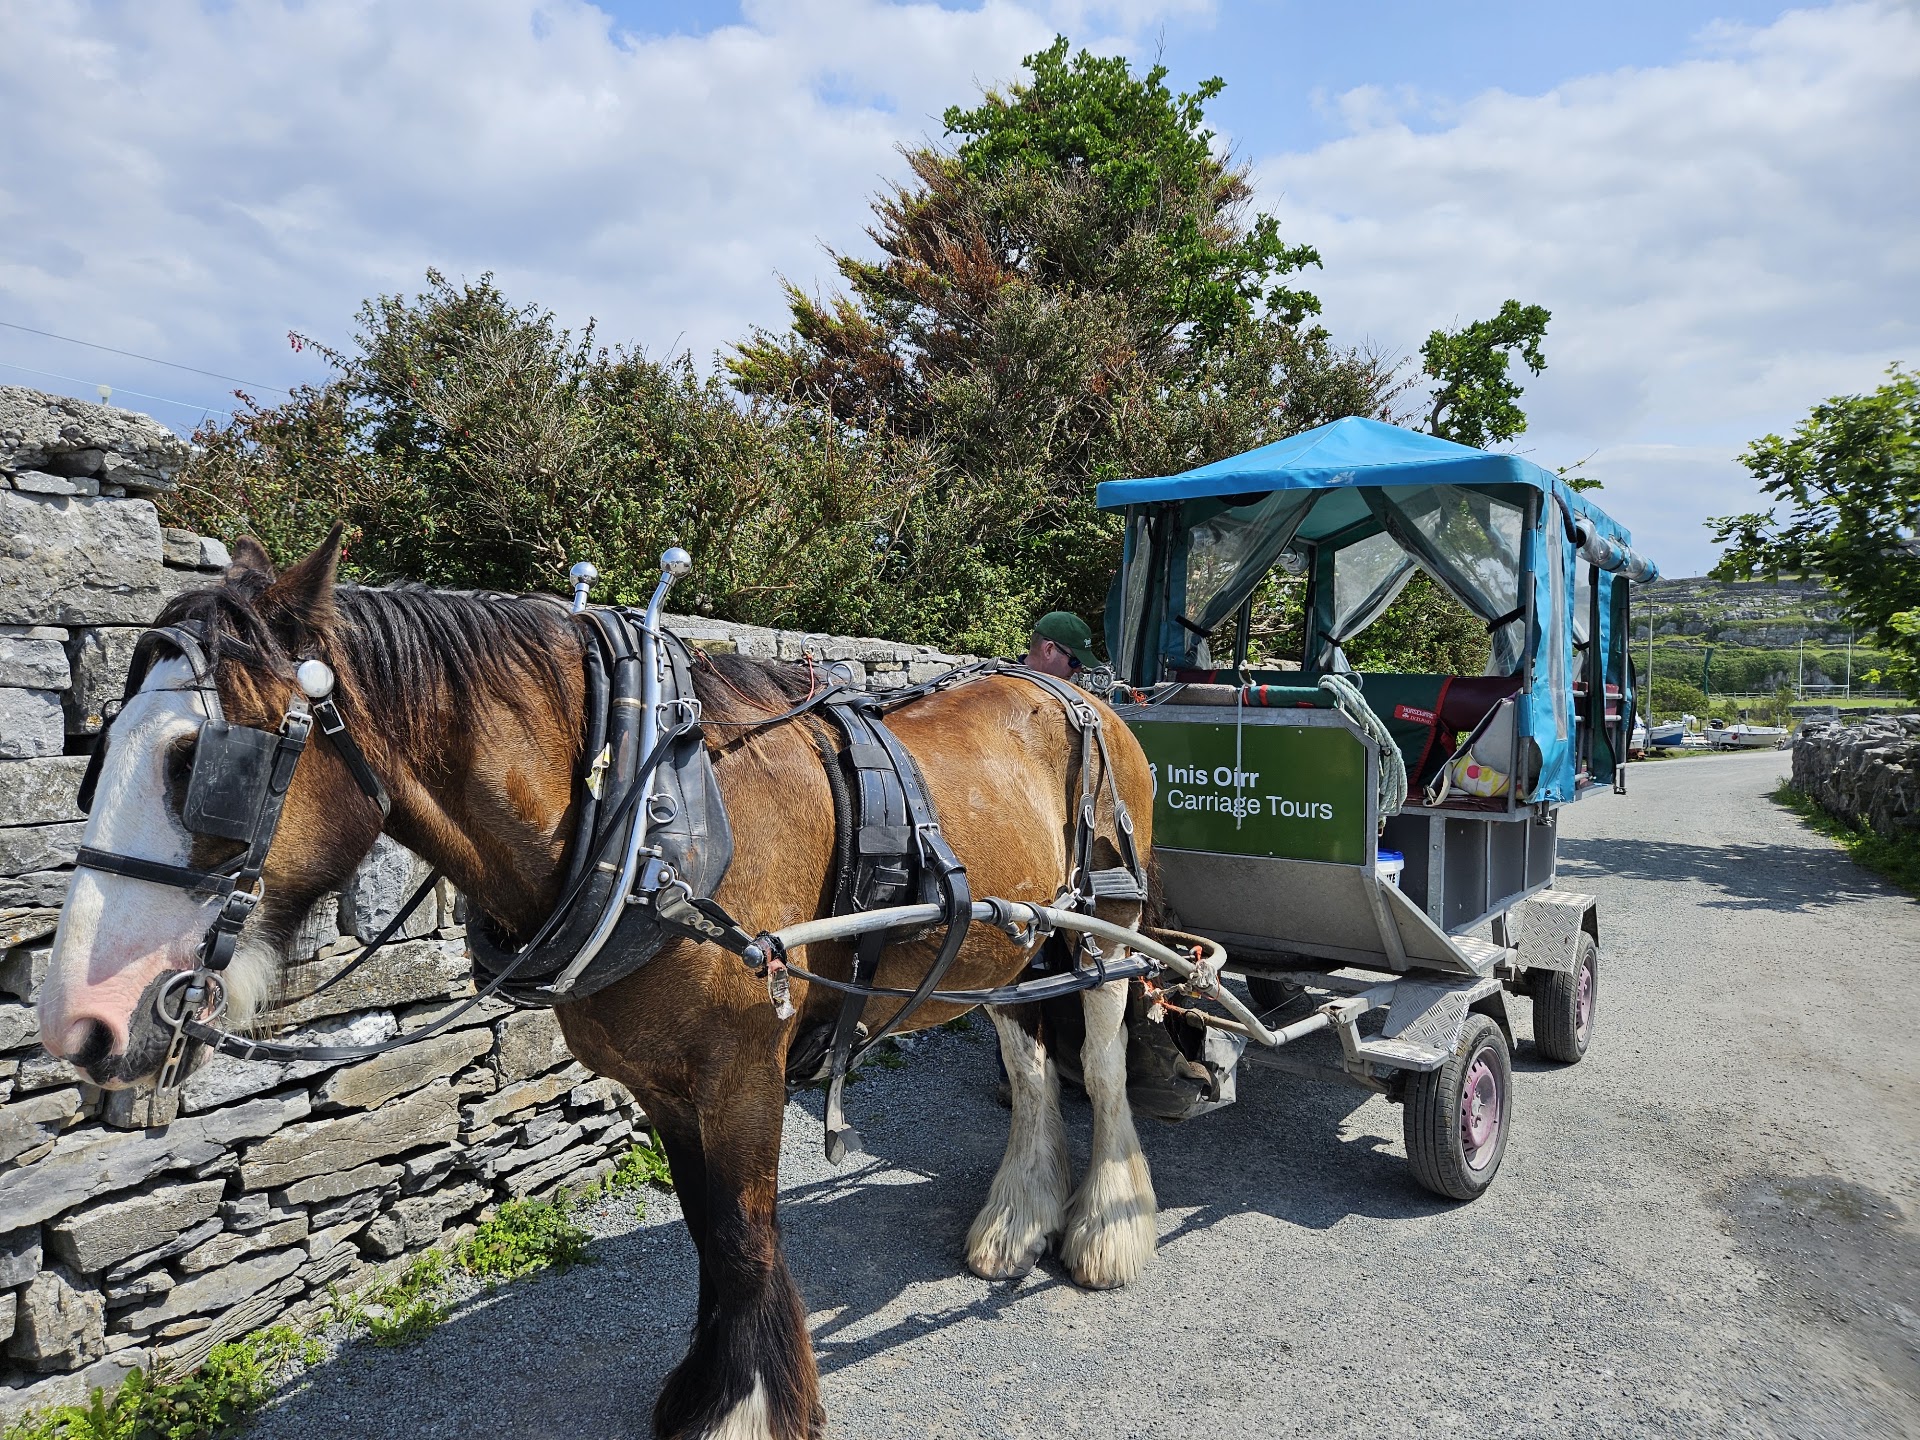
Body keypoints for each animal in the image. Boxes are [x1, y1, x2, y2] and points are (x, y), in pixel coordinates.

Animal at [37, 528, 1161, 1440]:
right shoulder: (661, 1081)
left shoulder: (743, 1071)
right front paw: (708, 1388)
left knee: (1103, 1058)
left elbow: (746, 1236)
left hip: (1109, 928)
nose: (79, 1026)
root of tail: (1083, 694)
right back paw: (1016, 1219)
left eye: (197, 762)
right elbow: (708, 1232)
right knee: (1028, 1056)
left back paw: (1106, 1227)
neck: (649, 815)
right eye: (98, 756)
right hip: (1009, 947)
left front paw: (748, 1410)